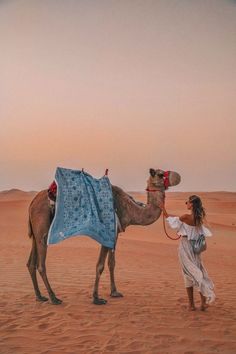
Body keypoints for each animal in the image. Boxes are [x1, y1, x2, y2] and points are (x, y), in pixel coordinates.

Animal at [26, 169, 180, 304]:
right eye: (160, 174)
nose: (177, 176)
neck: (129, 209)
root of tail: (32, 203)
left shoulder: (115, 234)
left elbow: (112, 263)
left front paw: (114, 292)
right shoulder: (106, 233)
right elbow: (100, 265)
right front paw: (96, 298)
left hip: (35, 234)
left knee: (31, 263)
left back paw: (40, 296)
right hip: (42, 229)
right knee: (41, 265)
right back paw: (54, 298)